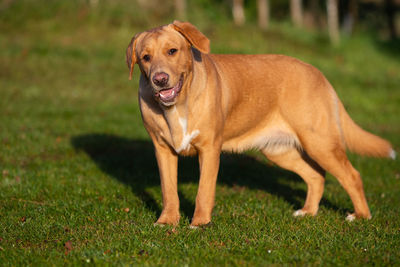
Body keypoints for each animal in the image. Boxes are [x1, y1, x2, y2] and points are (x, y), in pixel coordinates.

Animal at [126, 21, 396, 227]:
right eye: (145, 58)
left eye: (172, 51)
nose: (160, 79)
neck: (177, 106)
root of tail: (318, 73)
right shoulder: (162, 150)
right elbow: (169, 190)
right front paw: (167, 222)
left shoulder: (210, 150)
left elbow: (204, 191)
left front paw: (199, 224)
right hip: (279, 150)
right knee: (316, 176)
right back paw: (307, 211)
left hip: (320, 142)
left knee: (352, 175)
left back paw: (360, 215)